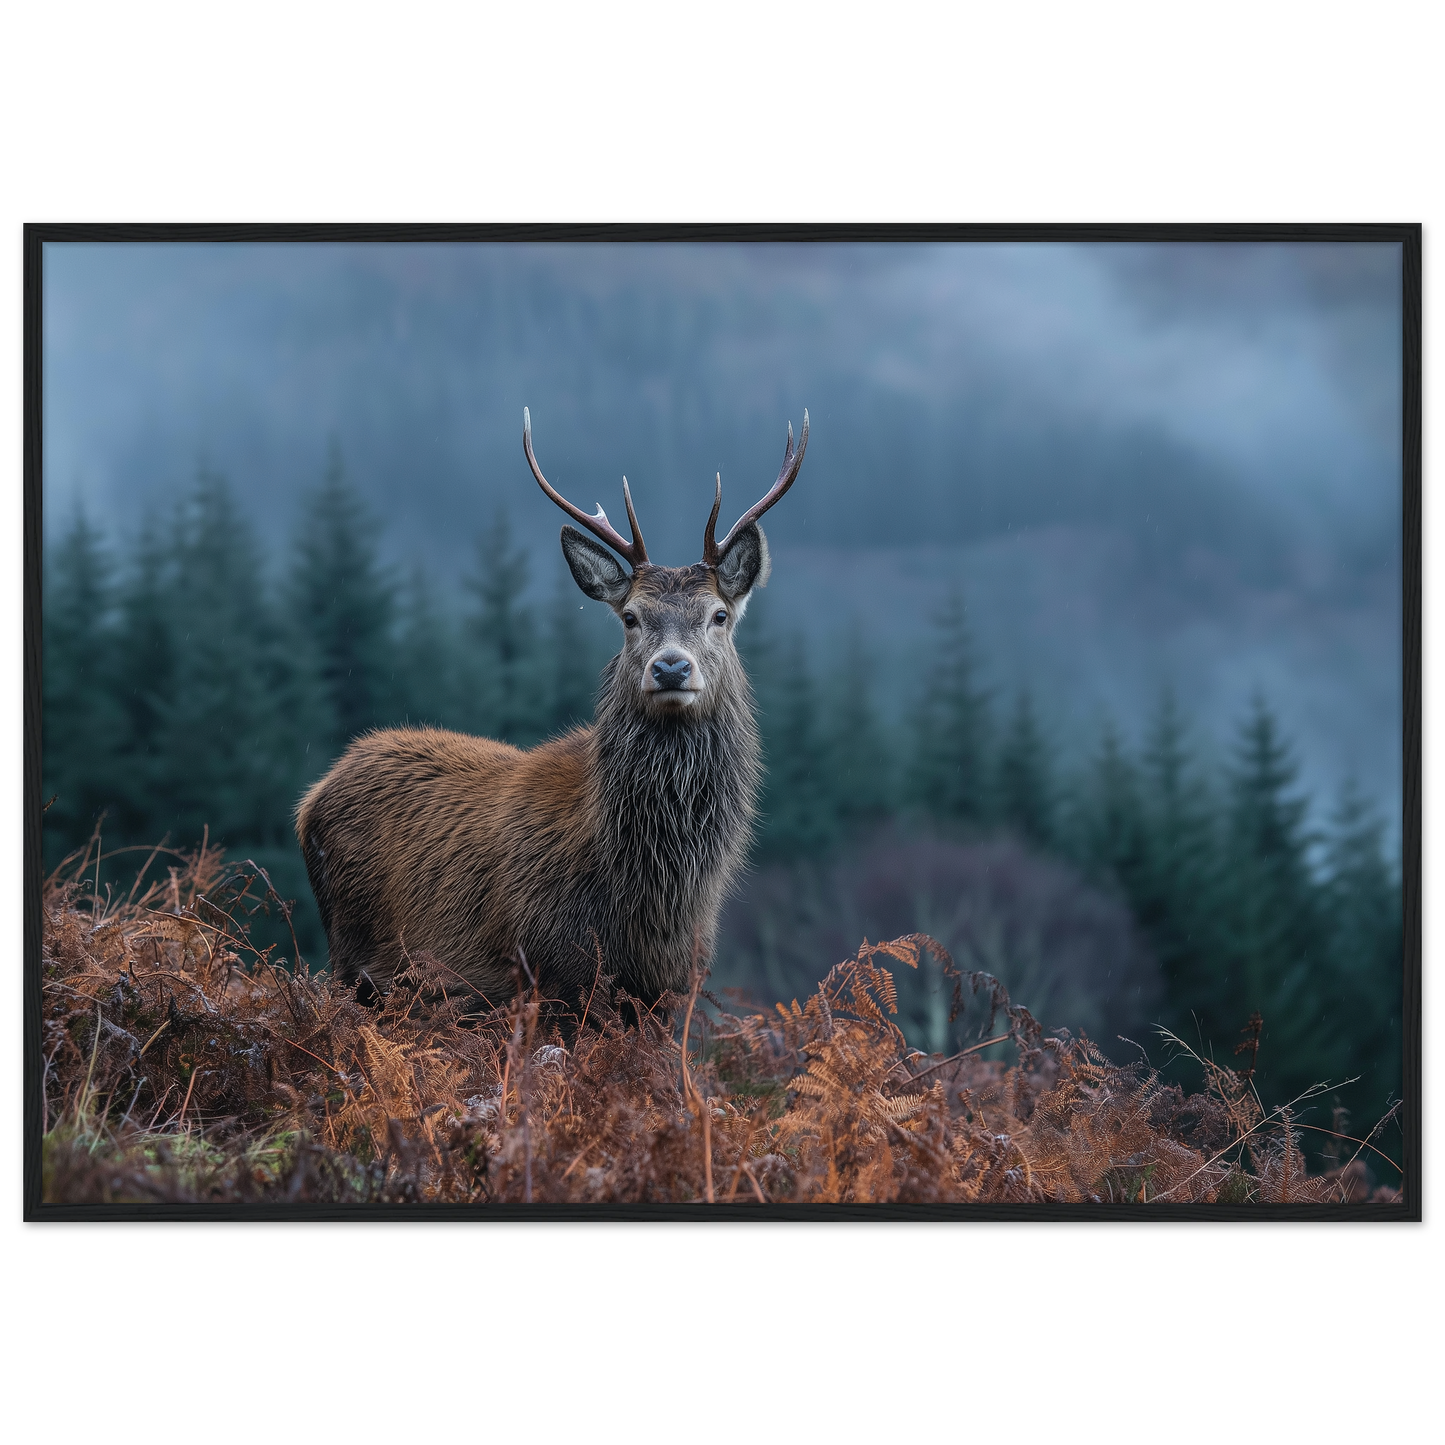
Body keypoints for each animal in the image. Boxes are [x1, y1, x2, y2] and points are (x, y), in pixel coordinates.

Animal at [295, 406, 809, 1026]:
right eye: (631, 617)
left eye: (718, 615)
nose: (670, 668)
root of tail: (311, 798)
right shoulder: (554, 975)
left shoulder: (669, 992)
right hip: (356, 958)